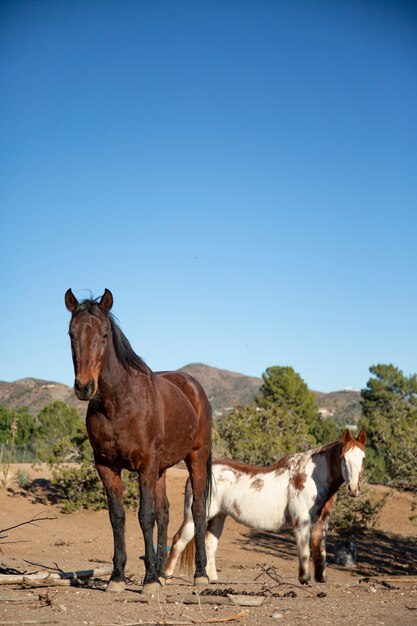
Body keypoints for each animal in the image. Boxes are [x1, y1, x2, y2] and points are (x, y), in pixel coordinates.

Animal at [64, 288, 211, 588]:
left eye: (104, 334)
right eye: (71, 334)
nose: (84, 387)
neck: (118, 404)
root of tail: (192, 386)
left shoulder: (145, 465)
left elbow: (145, 516)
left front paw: (149, 581)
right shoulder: (107, 466)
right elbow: (117, 517)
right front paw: (118, 577)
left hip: (196, 458)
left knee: (198, 511)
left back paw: (200, 575)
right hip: (162, 469)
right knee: (165, 513)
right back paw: (163, 572)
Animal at [164, 426, 366, 584]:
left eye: (363, 458)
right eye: (344, 458)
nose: (354, 488)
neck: (311, 478)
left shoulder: (321, 525)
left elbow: (320, 553)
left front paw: (320, 580)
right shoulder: (301, 524)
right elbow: (305, 552)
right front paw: (304, 580)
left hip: (218, 517)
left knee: (210, 544)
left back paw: (212, 580)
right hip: (194, 518)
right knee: (178, 541)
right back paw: (166, 577)